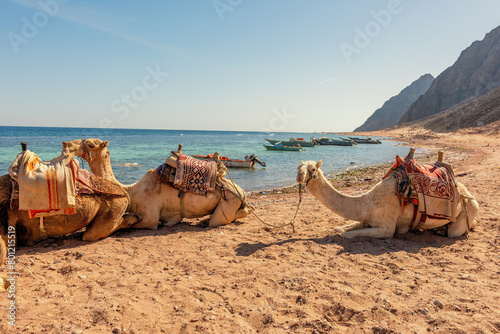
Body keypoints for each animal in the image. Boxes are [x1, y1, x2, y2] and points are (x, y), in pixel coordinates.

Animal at [66, 138, 252, 230]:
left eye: (90, 144)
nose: (68, 144)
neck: (132, 190)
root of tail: (242, 193)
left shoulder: (150, 218)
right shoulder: (172, 217)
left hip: (229, 202)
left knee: (226, 218)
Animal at [296, 153, 480, 239]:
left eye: (313, 169)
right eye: (299, 166)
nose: (298, 176)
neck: (367, 203)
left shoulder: (387, 227)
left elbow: (344, 234)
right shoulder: (367, 219)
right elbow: (339, 228)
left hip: (469, 209)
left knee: (457, 230)